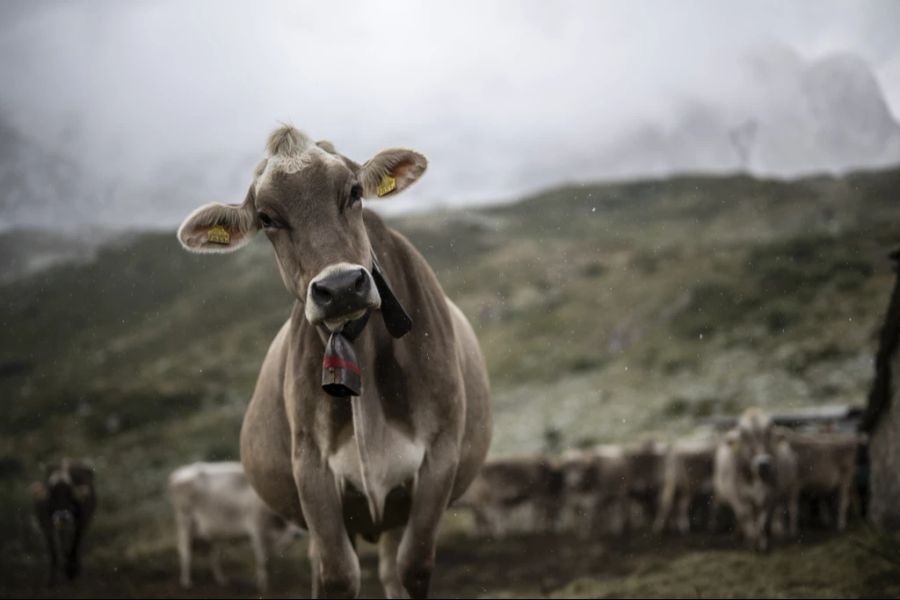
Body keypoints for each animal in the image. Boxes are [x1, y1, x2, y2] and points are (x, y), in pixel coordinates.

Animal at [167, 464, 298, 592]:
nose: (297, 534)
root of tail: (177, 474)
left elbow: (269, 558)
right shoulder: (257, 529)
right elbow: (262, 559)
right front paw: (263, 586)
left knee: (213, 554)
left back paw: (221, 579)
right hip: (185, 520)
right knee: (185, 550)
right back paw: (186, 582)